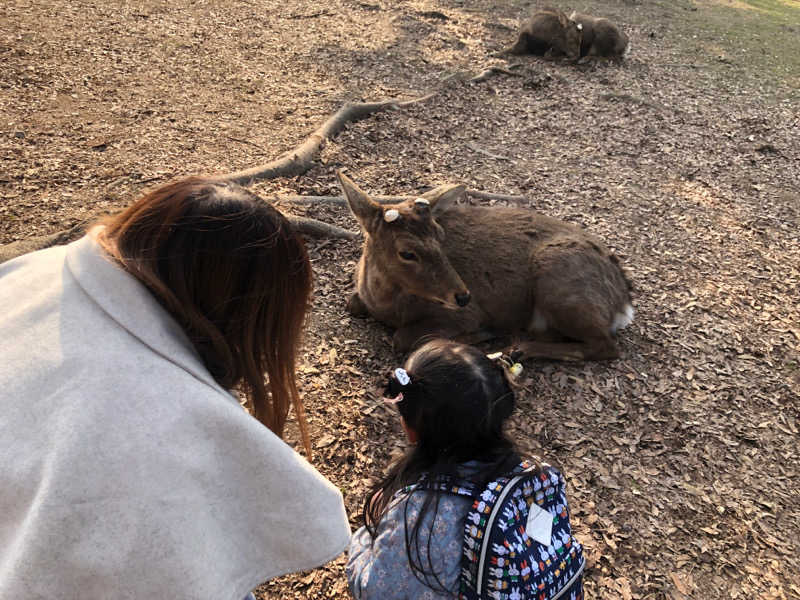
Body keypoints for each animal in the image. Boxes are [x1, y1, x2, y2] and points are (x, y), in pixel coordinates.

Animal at [340, 173, 636, 360]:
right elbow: (351, 302)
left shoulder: (463, 315)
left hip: (559, 281)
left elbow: (402, 338)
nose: (463, 296)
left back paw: (519, 348)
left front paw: (474, 335)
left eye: (440, 234)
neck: (385, 305)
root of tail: (624, 303)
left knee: (606, 346)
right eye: (407, 252)